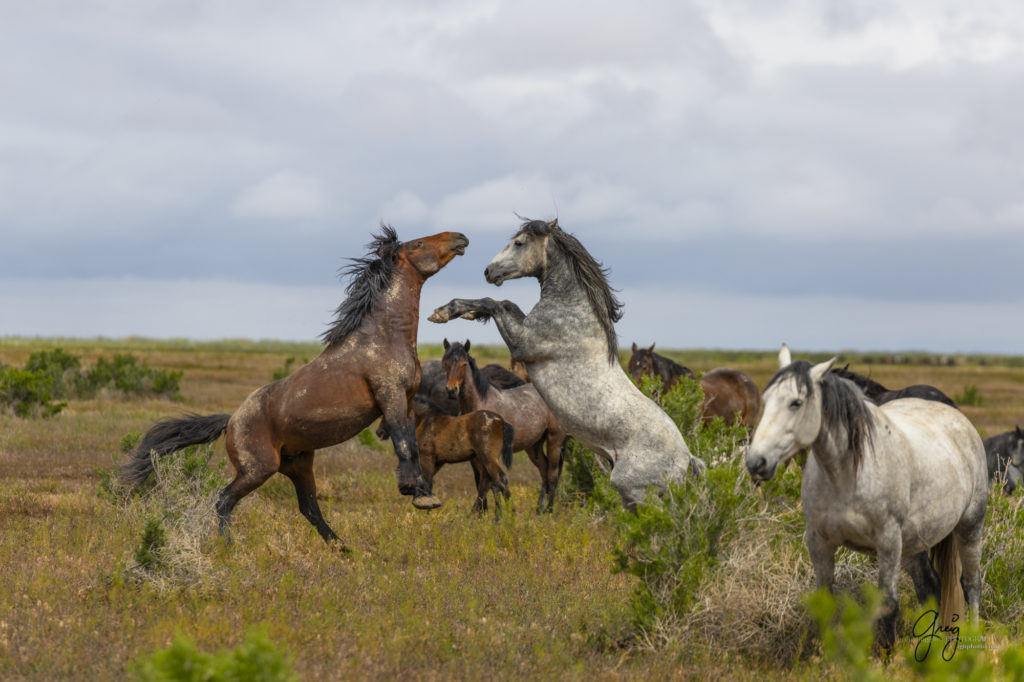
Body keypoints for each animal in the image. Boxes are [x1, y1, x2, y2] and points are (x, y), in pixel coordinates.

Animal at [118, 225, 468, 544]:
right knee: (224, 499)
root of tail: (231, 421)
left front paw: (419, 491)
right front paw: (420, 495)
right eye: (419, 243)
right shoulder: (390, 395)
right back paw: (228, 545)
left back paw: (341, 548)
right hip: (257, 469)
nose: (459, 237)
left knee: (309, 507)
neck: (384, 337)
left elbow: (410, 443)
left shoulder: (405, 400)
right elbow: (404, 443)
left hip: (299, 466)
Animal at [442, 339, 569, 509]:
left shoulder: (489, 454)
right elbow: (485, 483)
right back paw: (539, 509)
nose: (451, 390)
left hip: (554, 440)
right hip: (533, 446)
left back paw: (549, 509)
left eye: (463, 364)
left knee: (552, 475)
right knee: (544, 470)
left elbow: (491, 483)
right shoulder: (477, 456)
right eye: (445, 363)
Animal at [749, 352, 987, 647]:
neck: (846, 476)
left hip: (969, 526)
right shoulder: (818, 542)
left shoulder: (887, 543)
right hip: (913, 544)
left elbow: (888, 606)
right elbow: (825, 603)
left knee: (971, 584)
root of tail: (956, 415)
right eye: (766, 400)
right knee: (930, 585)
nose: (756, 462)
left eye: (796, 402)